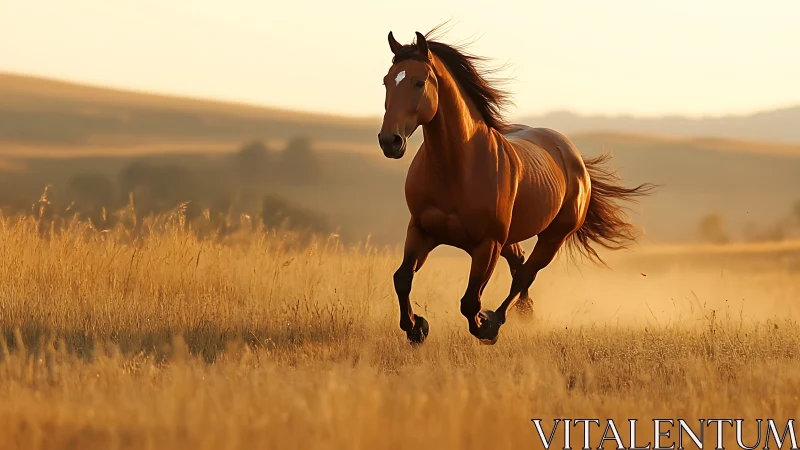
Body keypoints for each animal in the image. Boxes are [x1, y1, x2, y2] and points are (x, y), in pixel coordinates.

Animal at [377, 27, 656, 345]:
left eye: (419, 82)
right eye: (386, 81)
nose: (389, 141)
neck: (456, 168)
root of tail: (571, 154)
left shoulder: (487, 244)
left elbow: (470, 301)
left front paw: (484, 325)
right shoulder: (422, 231)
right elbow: (402, 279)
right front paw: (417, 327)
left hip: (553, 236)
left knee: (525, 274)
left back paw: (499, 319)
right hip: (511, 238)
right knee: (519, 264)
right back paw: (525, 312)